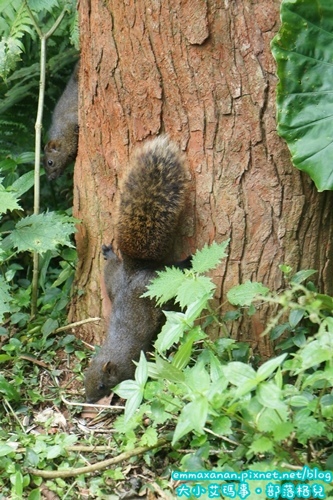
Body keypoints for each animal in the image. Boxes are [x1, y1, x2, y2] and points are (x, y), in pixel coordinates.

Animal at [83, 136, 189, 402]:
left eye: (102, 386)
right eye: (85, 379)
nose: (88, 400)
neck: (114, 351)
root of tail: (135, 271)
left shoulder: (132, 364)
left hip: (157, 286)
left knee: (169, 272)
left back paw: (185, 262)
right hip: (111, 278)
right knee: (112, 266)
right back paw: (109, 253)